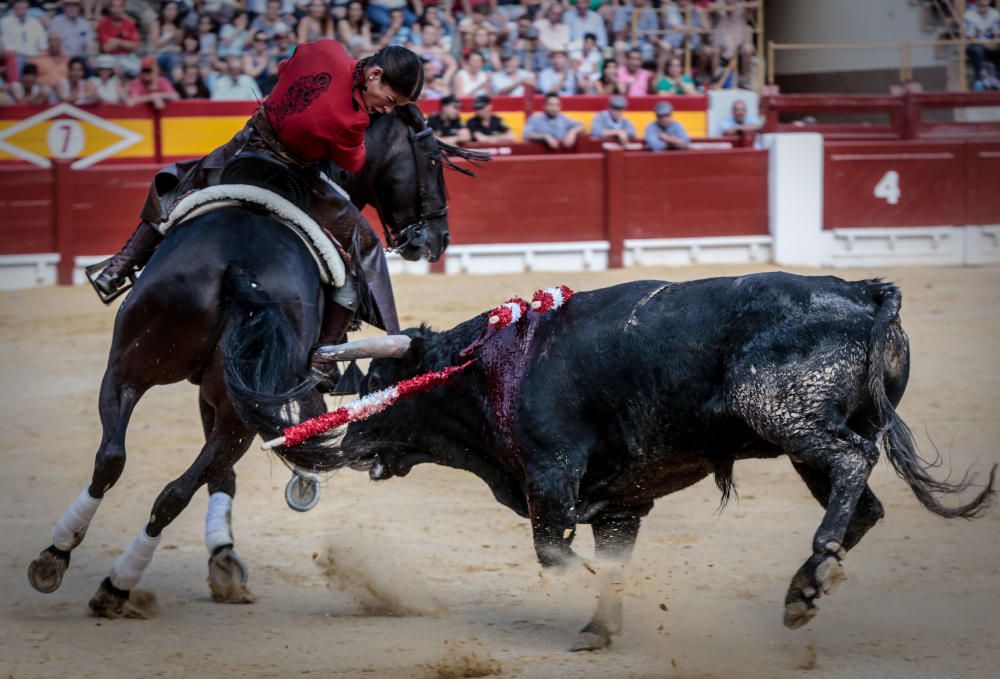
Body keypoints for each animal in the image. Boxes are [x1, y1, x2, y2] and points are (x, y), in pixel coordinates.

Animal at [25, 105, 486, 616]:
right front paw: (225, 556)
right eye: (432, 159)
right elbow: (219, 477)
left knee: (118, 460)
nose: (438, 238)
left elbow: (214, 477)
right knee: (175, 486)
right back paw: (115, 582)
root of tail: (237, 267)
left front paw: (223, 557)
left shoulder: (210, 391)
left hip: (133, 369)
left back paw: (58, 556)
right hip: (231, 408)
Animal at [318, 274, 992, 652]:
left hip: (781, 412)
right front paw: (599, 630)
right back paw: (804, 588)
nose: (343, 445)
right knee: (866, 502)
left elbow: (556, 554)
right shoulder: (621, 505)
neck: (493, 366)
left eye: (375, 382)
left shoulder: (551, 473)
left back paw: (820, 559)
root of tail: (863, 293)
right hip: (807, 438)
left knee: (854, 461)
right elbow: (609, 562)